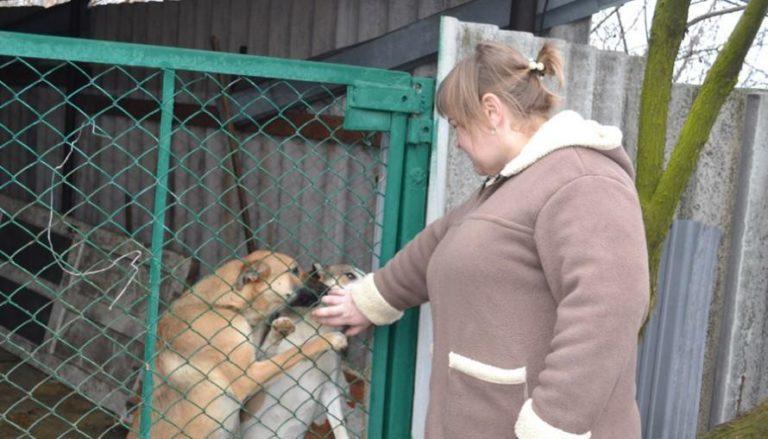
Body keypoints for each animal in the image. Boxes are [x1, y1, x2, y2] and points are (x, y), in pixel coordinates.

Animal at [127, 251, 346, 439]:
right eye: (293, 270)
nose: (328, 290)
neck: (224, 305)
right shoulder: (248, 376)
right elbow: (297, 351)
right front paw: (330, 339)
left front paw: (281, 328)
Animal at [238, 264, 364, 439]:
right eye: (350, 275)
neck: (315, 329)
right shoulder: (257, 375)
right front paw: (279, 331)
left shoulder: (329, 387)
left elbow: (339, 426)